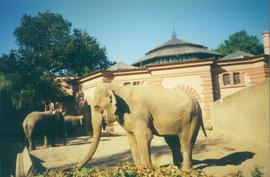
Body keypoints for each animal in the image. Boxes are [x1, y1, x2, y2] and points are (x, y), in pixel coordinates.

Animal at [78, 84, 207, 170]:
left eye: (97, 107)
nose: (76, 169)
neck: (117, 88)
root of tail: (197, 103)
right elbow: (131, 138)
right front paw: (139, 168)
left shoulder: (138, 114)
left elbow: (145, 135)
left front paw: (147, 169)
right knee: (172, 141)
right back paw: (177, 167)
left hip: (191, 119)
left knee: (186, 141)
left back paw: (185, 170)